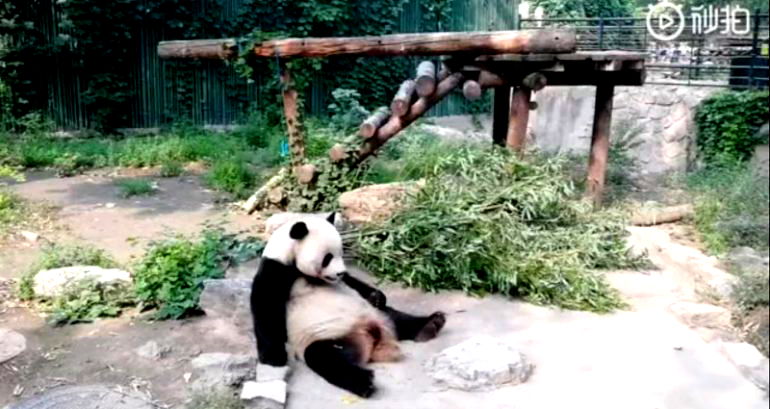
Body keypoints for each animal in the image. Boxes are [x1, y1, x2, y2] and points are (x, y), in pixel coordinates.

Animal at [252, 212, 444, 396]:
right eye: (327, 258)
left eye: (341, 253)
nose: (340, 272)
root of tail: (372, 336)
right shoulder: (275, 271)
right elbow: (266, 309)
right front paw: (273, 359)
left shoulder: (344, 281)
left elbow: (354, 282)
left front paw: (376, 295)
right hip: (331, 338)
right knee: (324, 357)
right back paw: (364, 382)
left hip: (374, 313)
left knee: (396, 316)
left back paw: (431, 324)